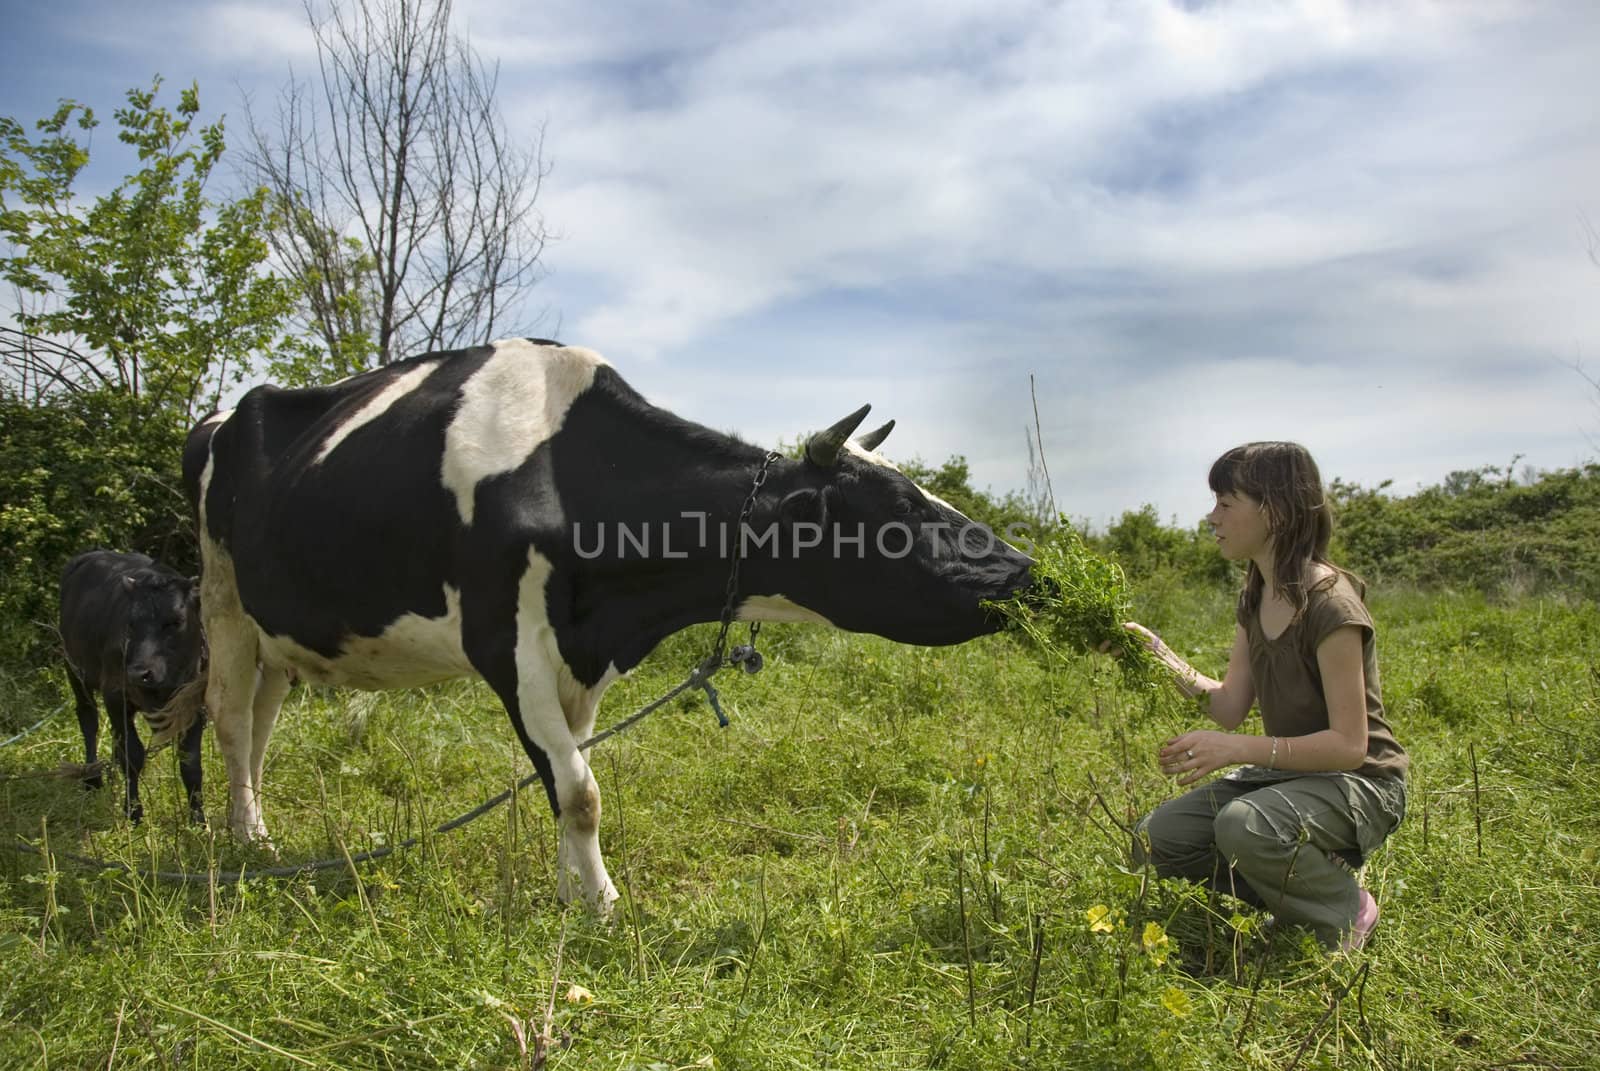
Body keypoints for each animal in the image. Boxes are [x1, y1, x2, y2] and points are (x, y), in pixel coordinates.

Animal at [60, 547, 209, 826]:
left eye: (175, 621)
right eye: (130, 623)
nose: (140, 672)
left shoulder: (194, 704)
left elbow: (191, 763)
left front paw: (198, 820)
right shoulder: (116, 696)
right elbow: (132, 756)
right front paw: (134, 813)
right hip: (74, 668)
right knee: (88, 718)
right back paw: (92, 778)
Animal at [184, 337, 1036, 909]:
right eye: (896, 511)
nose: (1025, 571)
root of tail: (225, 411)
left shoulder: (583, 654)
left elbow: (567, 773)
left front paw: (570, 889)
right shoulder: (506, 643)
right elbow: (577, 784)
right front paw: (598, 902)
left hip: (279, 635)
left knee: (261, 724)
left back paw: (250, 826)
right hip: (221, 595)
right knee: (228, 718)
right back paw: (246, 838)